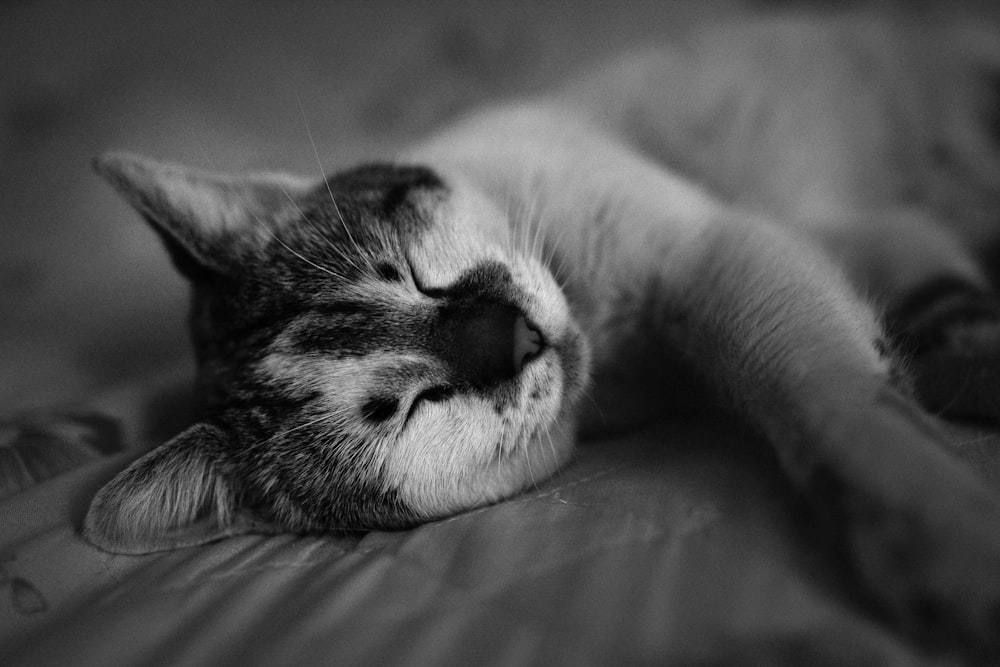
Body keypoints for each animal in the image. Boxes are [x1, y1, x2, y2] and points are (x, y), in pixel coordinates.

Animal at [82, 10, 1000, 664]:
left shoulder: (715, 251)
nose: (510, 333)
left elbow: (829, 402)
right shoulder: (870, 251)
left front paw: (944, 526)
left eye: (408, 273)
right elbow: (899, 351)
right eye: (410, 405)